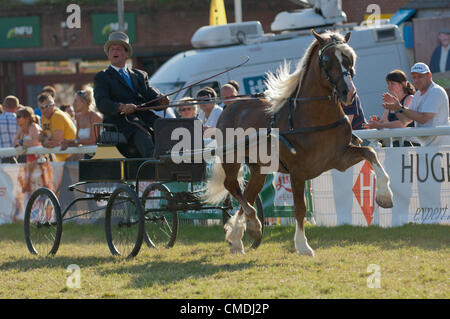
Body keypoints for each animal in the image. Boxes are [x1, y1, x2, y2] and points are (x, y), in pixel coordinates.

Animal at [204, 29, 394, 255]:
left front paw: (385, 195)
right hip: (231, 158)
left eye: (350, 58)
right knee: (232, 186)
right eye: (326, 60)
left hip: (259, 169)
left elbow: (370, 153)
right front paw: (303, 246)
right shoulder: (297, 172)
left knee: (247, 196)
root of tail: (230, 106)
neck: (314, 117)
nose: (348, 93)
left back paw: (238, 237)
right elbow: (300, 209)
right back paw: (253, 225)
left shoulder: (340, 159)